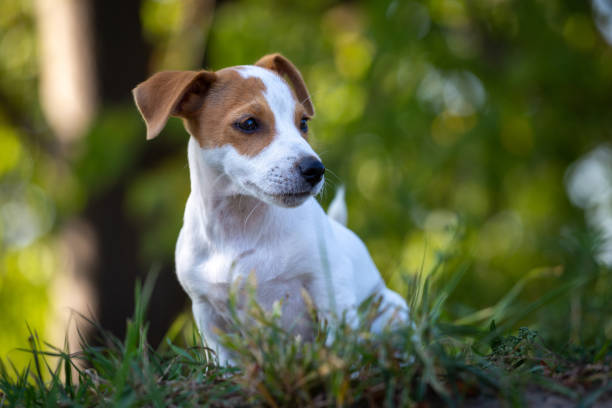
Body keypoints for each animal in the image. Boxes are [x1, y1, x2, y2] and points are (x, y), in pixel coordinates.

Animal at [136, 52, 408, 362]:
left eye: (303, 123)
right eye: (249, 123)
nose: (315, 169)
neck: (241, 228)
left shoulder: (329, 288)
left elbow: (337, 345)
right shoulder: (209, 316)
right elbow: (224, 362)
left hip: (391, 311)